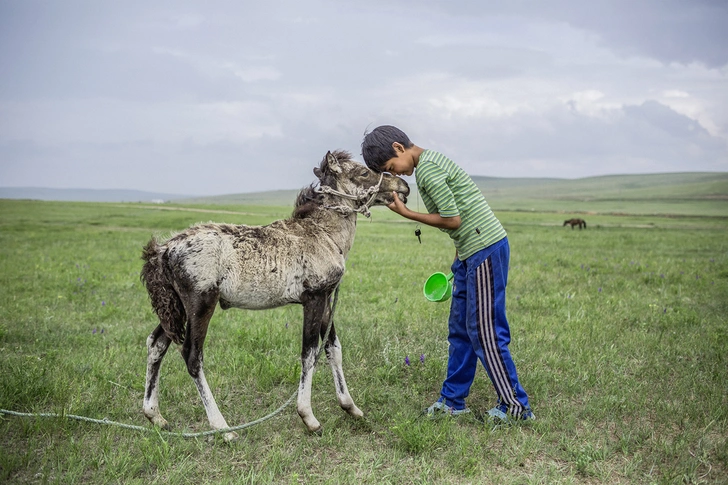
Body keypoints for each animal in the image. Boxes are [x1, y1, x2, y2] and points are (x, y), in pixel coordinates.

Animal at [139, 148, 406, 438]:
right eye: (364, 172)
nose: (402, 186)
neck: (324, 235)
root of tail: (164, 250)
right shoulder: (314, 299)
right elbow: (309, 352)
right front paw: (309, 418)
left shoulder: (326, 300)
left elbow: (333, 348)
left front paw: (351, 408)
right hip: (200, 305)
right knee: (192, 356)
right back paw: (223, 428)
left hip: (176, 308)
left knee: (157, 343)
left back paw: (155, 416)